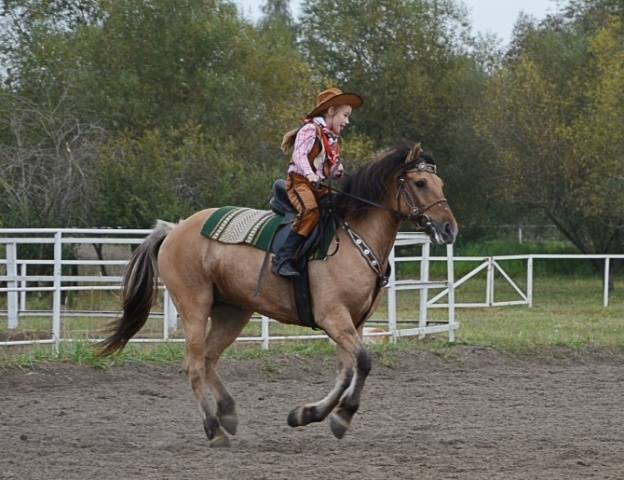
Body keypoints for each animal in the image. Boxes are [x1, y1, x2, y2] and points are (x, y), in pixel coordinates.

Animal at [98, 142, 458, 446]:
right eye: (421, 183)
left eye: (440, 183)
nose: (449, 228)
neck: (353, 238)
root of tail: (174, 230)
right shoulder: (334, 318)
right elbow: (364, 363)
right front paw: (340, 416)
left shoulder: (353, 323)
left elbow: (346, 371)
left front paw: (308, 415)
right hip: (195, 308)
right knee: (195, 366)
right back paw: (214, 430)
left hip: (232, 312)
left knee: (210, 359)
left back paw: (228, 413)